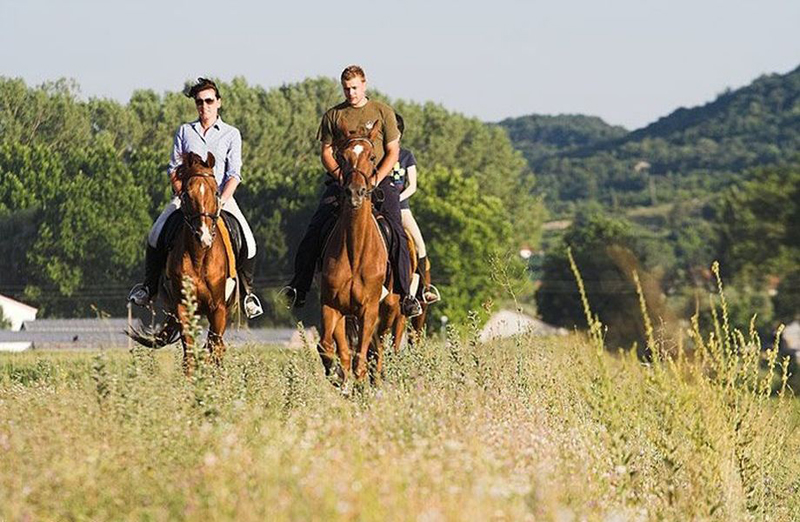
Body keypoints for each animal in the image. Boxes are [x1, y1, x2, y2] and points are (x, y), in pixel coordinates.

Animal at [316, 124, 388, 380]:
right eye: (342, 157)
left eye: (372, 156)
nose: (355, 192)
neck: (355, 251)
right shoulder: (332, 306)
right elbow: (329, 348)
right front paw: (337, 376)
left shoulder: (369, 311)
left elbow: (360, 360)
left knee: (377, 355)